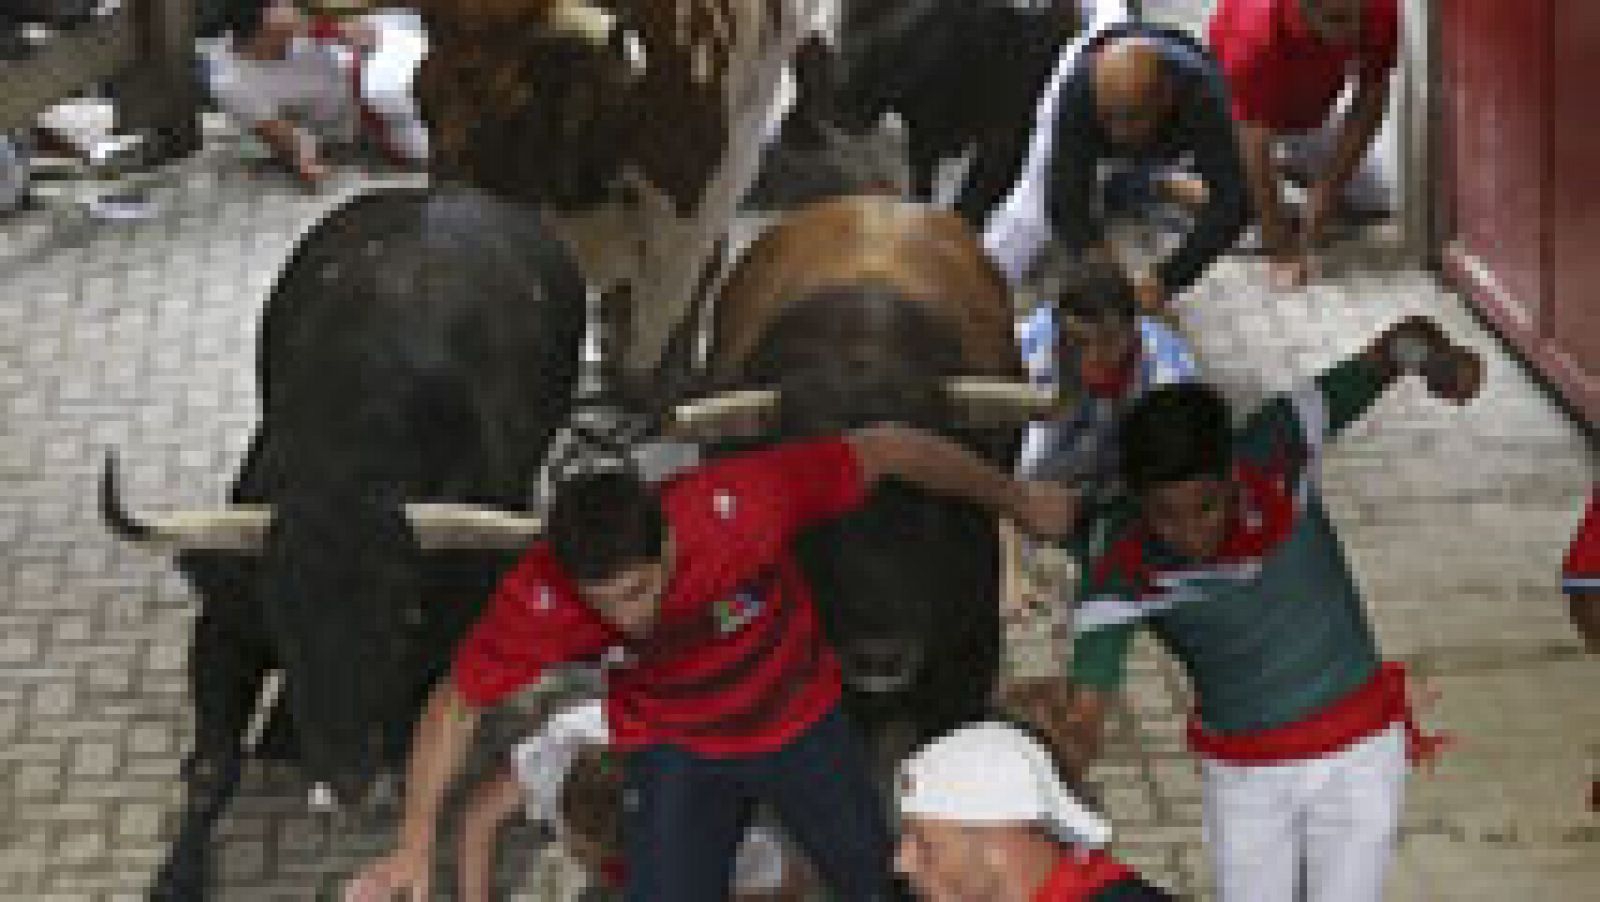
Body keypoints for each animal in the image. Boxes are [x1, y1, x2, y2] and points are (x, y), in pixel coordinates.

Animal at [101, 187, 588, 895]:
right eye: (284, 616)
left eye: (405, 617)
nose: (349, 778)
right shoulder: (228, 618)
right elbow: (211, 768)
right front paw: (176, 878)